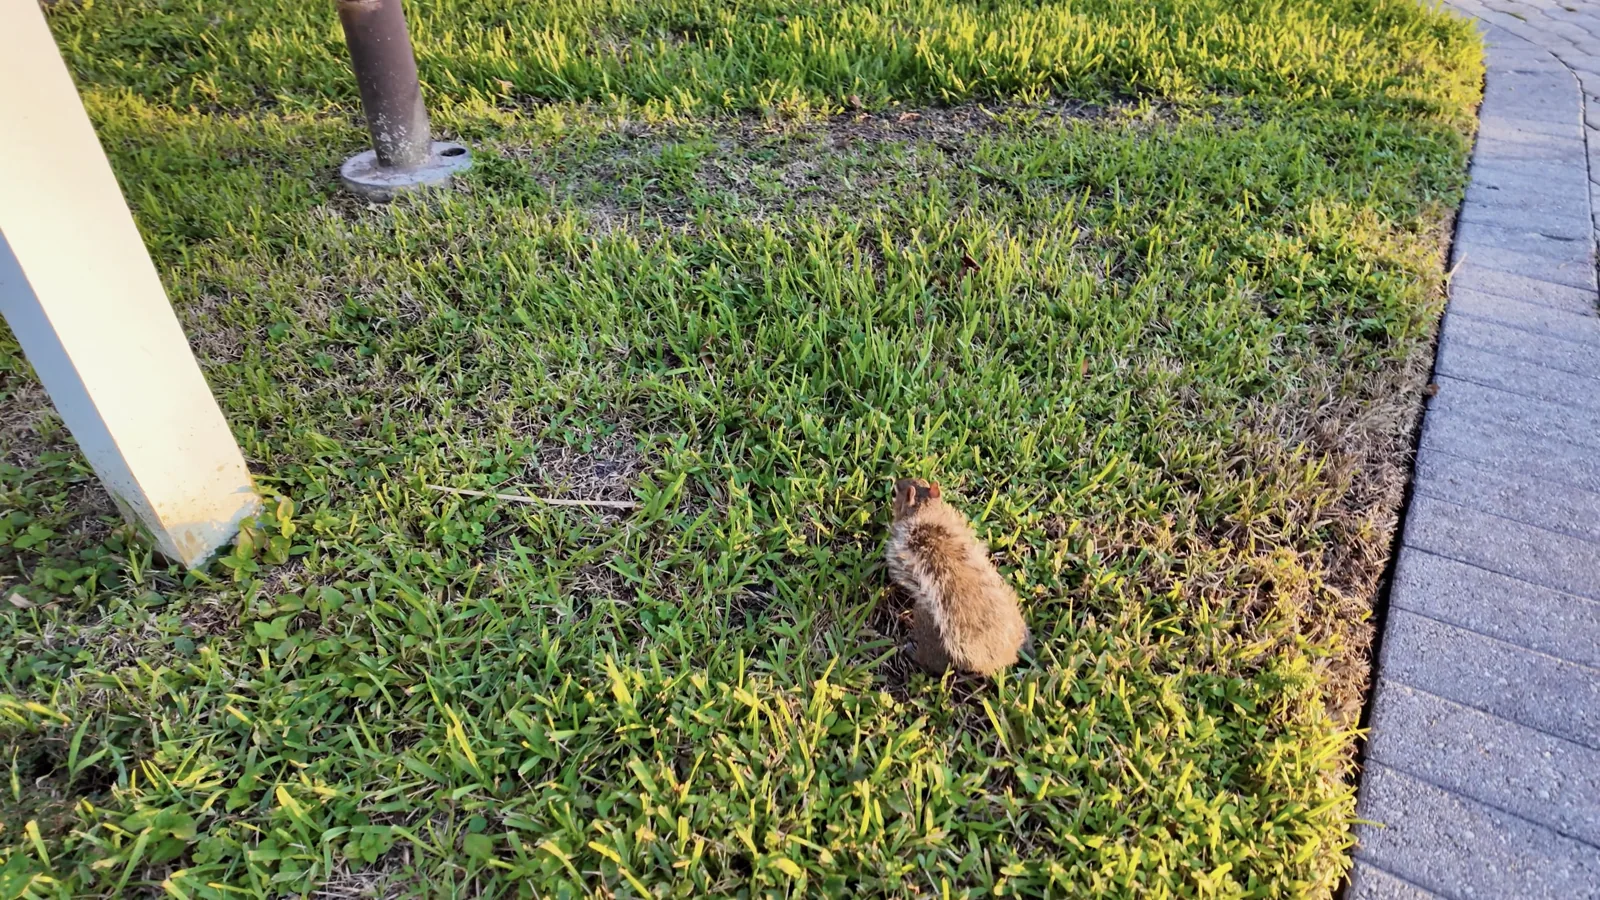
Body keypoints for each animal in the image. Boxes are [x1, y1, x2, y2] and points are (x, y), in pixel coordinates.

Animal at [885, 478, 1030, 676]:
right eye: (921, 481)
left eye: (895, 492)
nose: (897, 480)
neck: (925, 512)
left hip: (926, 621)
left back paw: (912, 651)